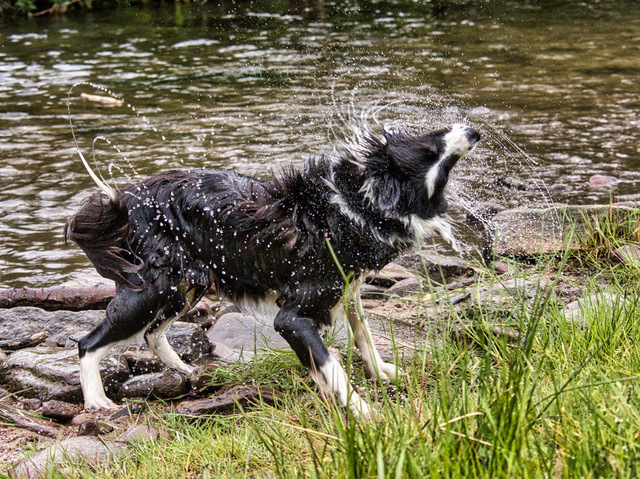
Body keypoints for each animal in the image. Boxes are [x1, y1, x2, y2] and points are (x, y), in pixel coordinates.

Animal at [66, 124, 480, 420]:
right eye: (430, 151)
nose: (473, 130)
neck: (354, 204)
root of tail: (125, 198)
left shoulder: (348, 288)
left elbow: (363, 334)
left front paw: (382, 372)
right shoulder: (293, 317)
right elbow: (332, 367)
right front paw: (367, 414)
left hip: (186, 284)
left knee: (153, 333)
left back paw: (184, 369)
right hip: (152, 288)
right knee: (89, 343)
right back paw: (98, 401)